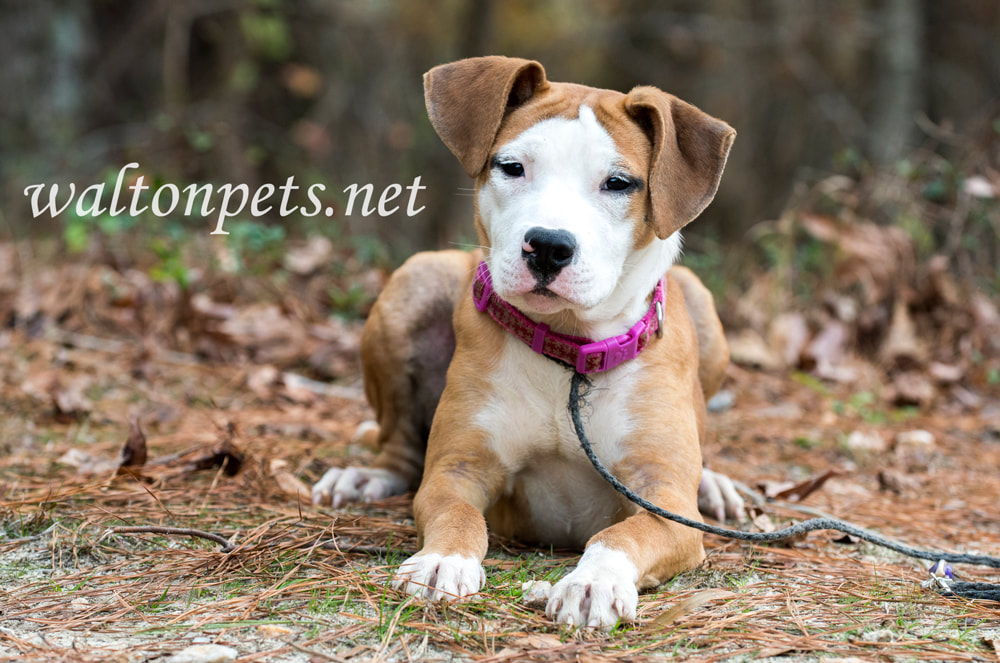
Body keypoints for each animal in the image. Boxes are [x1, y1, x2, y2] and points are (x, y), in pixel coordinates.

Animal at [312, 57, 744, 628]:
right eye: (512, 167)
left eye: (618, 182)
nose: (548, 246)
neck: (570, 353)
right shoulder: (457, 469)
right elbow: (456, 512)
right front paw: (442, 560)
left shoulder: (664, 501)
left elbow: (623, 534)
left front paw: (592, 581)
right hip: (415, 279)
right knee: (400, 449)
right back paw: (364, 478)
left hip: (702, 305)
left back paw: (714, 484)